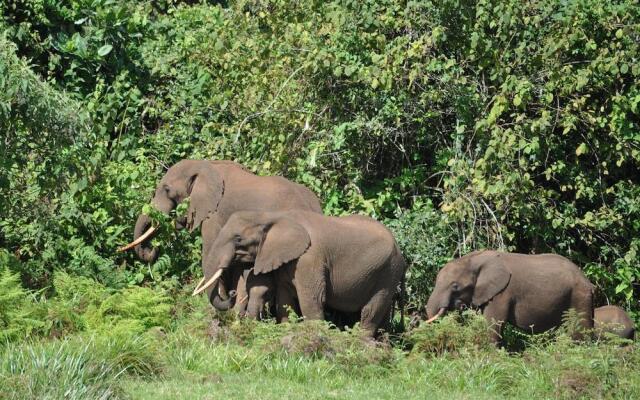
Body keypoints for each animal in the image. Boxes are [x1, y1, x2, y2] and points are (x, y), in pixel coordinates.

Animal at [192, 211, 408, 336]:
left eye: (238, 239)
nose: (232, 293)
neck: (274, 216)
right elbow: (284, 300)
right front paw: (287, 331)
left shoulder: (310, 258)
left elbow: (312, 299)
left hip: (387, 271)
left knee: (370, 310)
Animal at [424, 250, 596, 344]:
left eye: (455, 286)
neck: (474, 259)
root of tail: (586, 279)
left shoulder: (502, 293)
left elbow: (494, 322)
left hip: (579, 295)